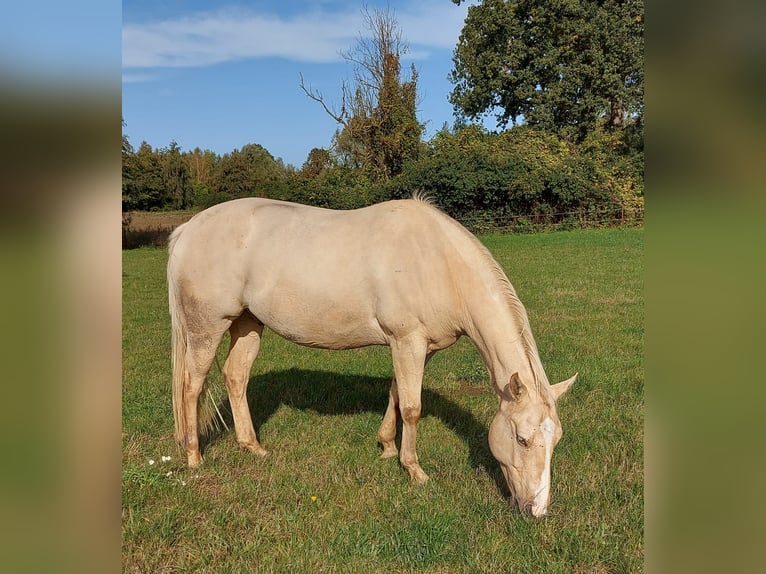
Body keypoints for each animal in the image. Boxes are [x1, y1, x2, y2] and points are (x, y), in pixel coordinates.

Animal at [167, 196, 576, 517]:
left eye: (556, 440)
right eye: (522, 439)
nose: (537, 509)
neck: (438, 261)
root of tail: (186, 230)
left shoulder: (415, 348)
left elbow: (396, 396)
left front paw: (386, 448)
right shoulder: (407, 341)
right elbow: (412, 407)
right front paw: (414, 471)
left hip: (248, 324)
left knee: (235, 377)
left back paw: (253, 447)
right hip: (207, 328)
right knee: (192, 387)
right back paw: (194, 456)